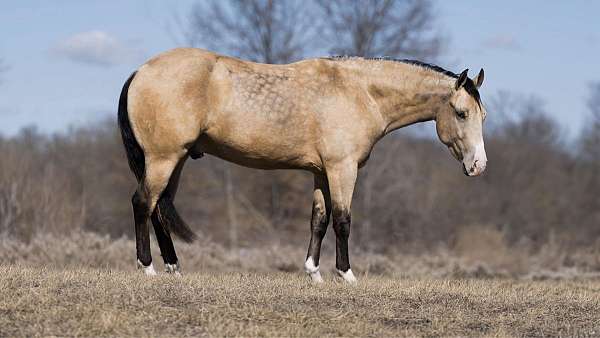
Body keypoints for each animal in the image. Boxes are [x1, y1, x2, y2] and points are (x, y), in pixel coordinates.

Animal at [118, 48, 488, 282]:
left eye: (482, 115)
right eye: (461, 113)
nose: (479, 165)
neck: (360, 92)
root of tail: (140, 71)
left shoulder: (321, 172)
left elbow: (318, 222)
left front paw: (314, 272)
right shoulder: (342, 168)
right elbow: (342, 221)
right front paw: (346, 274)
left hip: (175, 160)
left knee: (159, 207)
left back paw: (173, 267)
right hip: (164, 158)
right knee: (142, 202)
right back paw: (147, 267)